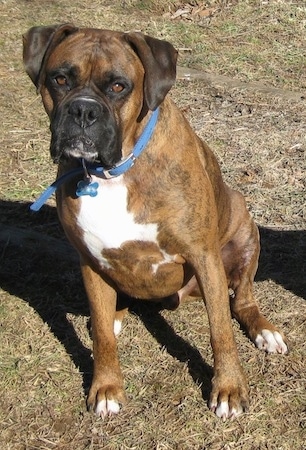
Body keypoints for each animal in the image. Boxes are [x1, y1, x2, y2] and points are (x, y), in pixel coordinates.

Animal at [22, 23, 288, 418]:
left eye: (119, 86)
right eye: (60, 79)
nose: (83, 110)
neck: (114, 171)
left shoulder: (204, 256)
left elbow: (220, 329)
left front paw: (228, 389)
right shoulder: (89, 260)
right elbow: (102, 337)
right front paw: (106, 387)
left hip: (244, 230)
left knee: (242, 301)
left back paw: (264, 331)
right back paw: (115, 315)